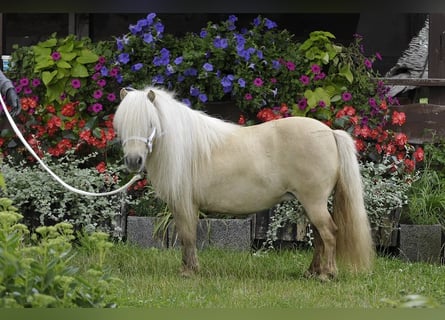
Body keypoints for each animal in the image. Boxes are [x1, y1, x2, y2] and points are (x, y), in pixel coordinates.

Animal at [112, 86, 372, 278]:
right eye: (122, 124)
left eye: (150, 123)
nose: (134, 161)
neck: (186, 147)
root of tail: (330, 132)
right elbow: (188, 236)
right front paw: (190, 268)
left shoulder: (185, 203)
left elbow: (187, 235)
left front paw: (188, 272)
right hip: (309, 204)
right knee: (319, 236)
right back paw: (311, 272)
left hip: (314, 202)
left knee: (328, 233)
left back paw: (326, 275)